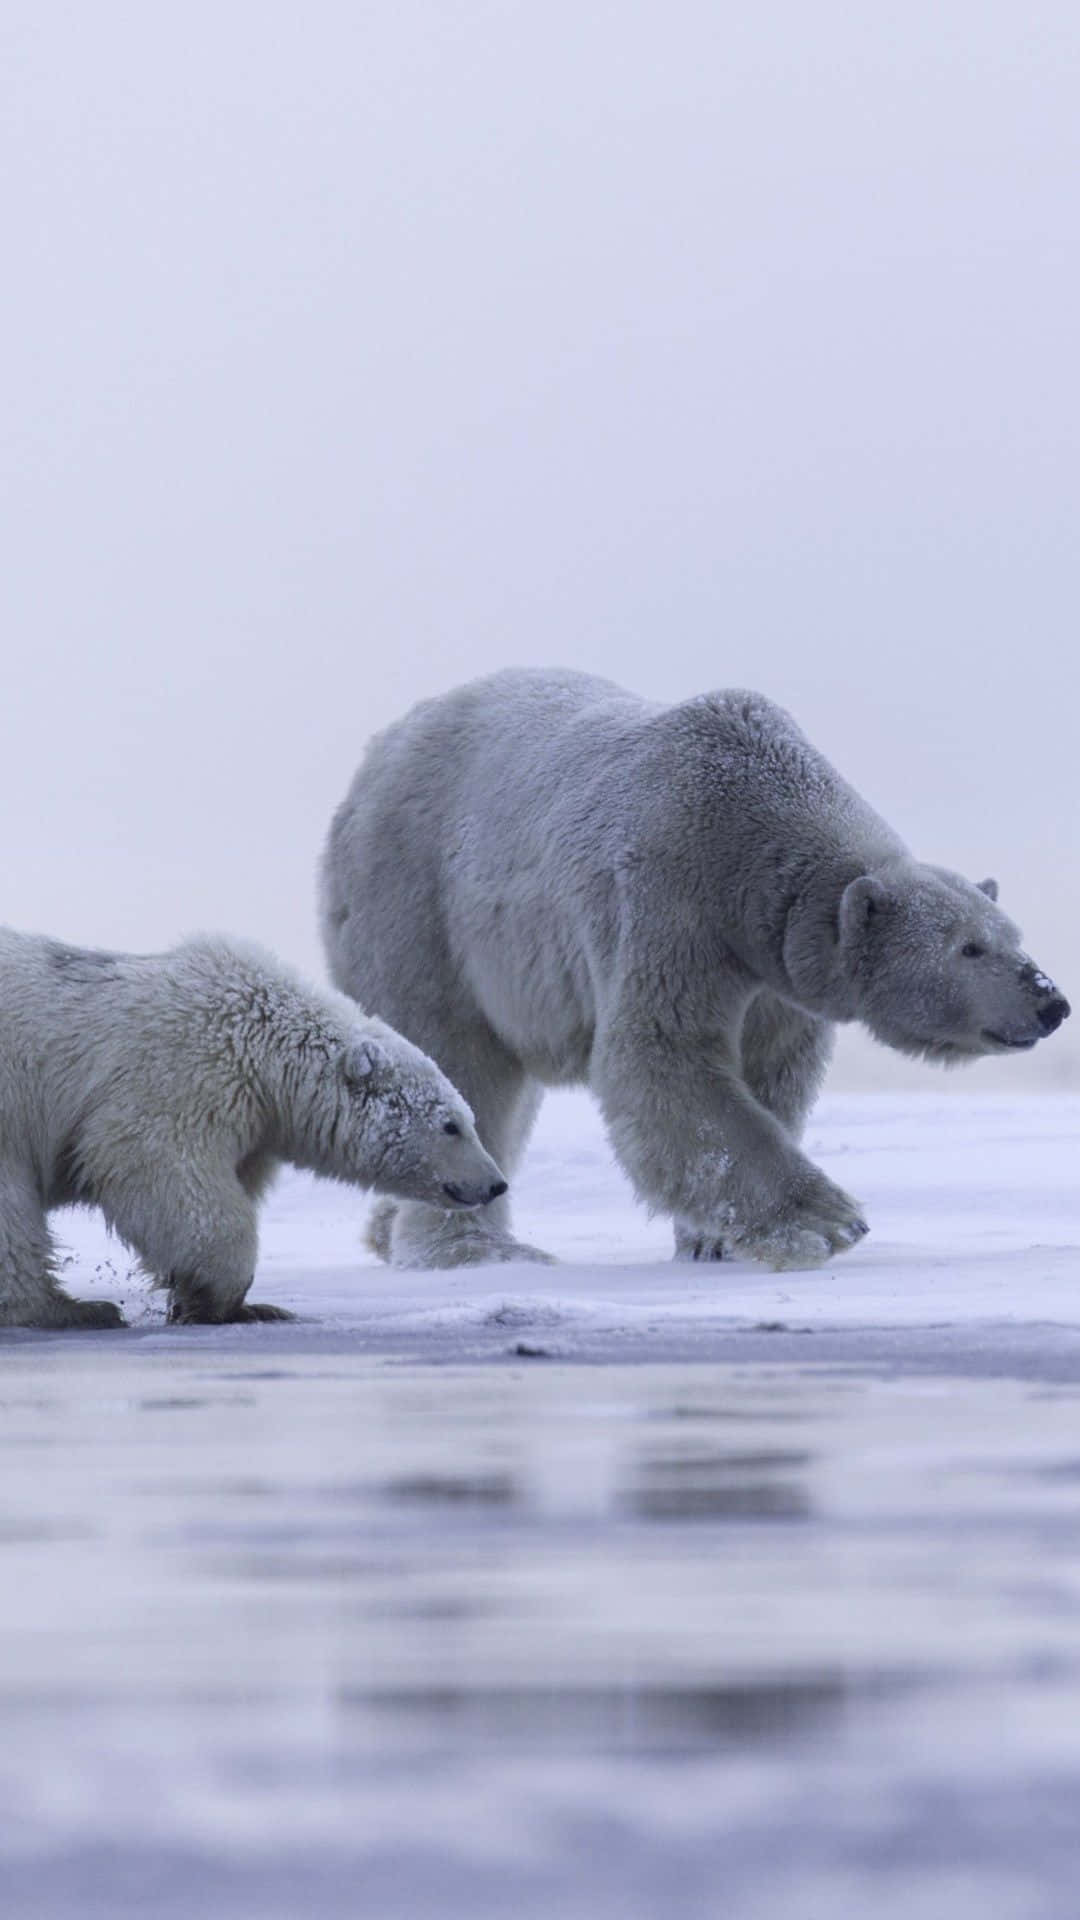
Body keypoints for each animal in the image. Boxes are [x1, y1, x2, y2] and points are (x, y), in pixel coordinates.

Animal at [0, 929, 507, 1327]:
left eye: (467, 1119)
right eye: (451, 1125)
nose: (496, 1184)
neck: (258, 1035)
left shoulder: (254, 1122)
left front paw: (222, 1301)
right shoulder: (179, 1072)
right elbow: (160, 1169)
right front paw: (224, 1299)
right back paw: (71, 1309)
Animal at [319, 668, 1070, 1274]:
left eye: (1012, 936)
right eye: (970, 948)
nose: (1052, 1003)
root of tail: (373, 758)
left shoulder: (774, 971)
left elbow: (770, 1071)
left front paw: (711, 1241)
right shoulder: (672, 895)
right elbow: (662, 1057)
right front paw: (825, 1221)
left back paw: (388, 1234)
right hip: (421, 905)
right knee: (457, 1057)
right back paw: (473, 1248)